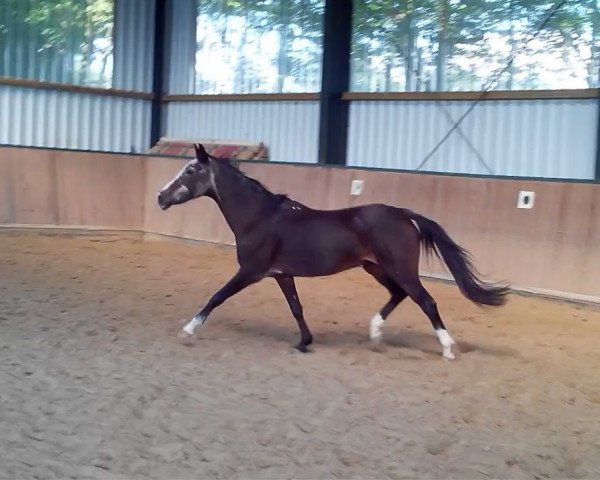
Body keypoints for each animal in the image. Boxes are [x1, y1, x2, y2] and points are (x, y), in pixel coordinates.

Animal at [156, 143, 506, 360]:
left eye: (190, 171)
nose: (160, 196)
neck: (260, 217)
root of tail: (404, 214)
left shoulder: (251, 272)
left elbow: (217, 296)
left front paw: (188, 330)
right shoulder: (281, 274)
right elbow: (296, 308)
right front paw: (303, 343)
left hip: (400, 269)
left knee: (426, 301)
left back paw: (447, 349)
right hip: (376, 268)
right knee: (399, 295)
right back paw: (375, 333)